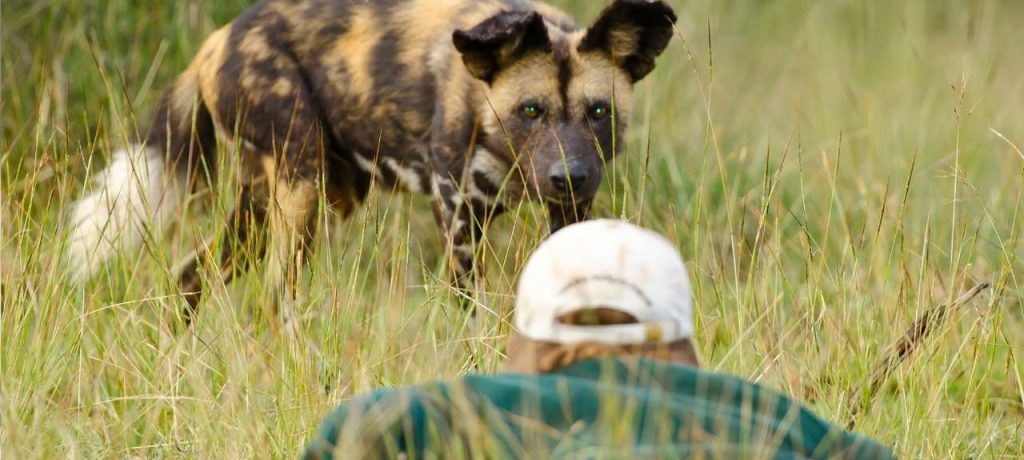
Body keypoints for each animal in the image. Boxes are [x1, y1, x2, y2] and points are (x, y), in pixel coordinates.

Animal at [70, 0, 679, 323]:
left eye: (598, 112)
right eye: (531, 110)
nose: (568, 175)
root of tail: (215, 41)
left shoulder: (570, 213)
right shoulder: (458, 213)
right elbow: (472, 316)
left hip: (271, 209)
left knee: (190, 275)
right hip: (300, 192)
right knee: (276, 298)